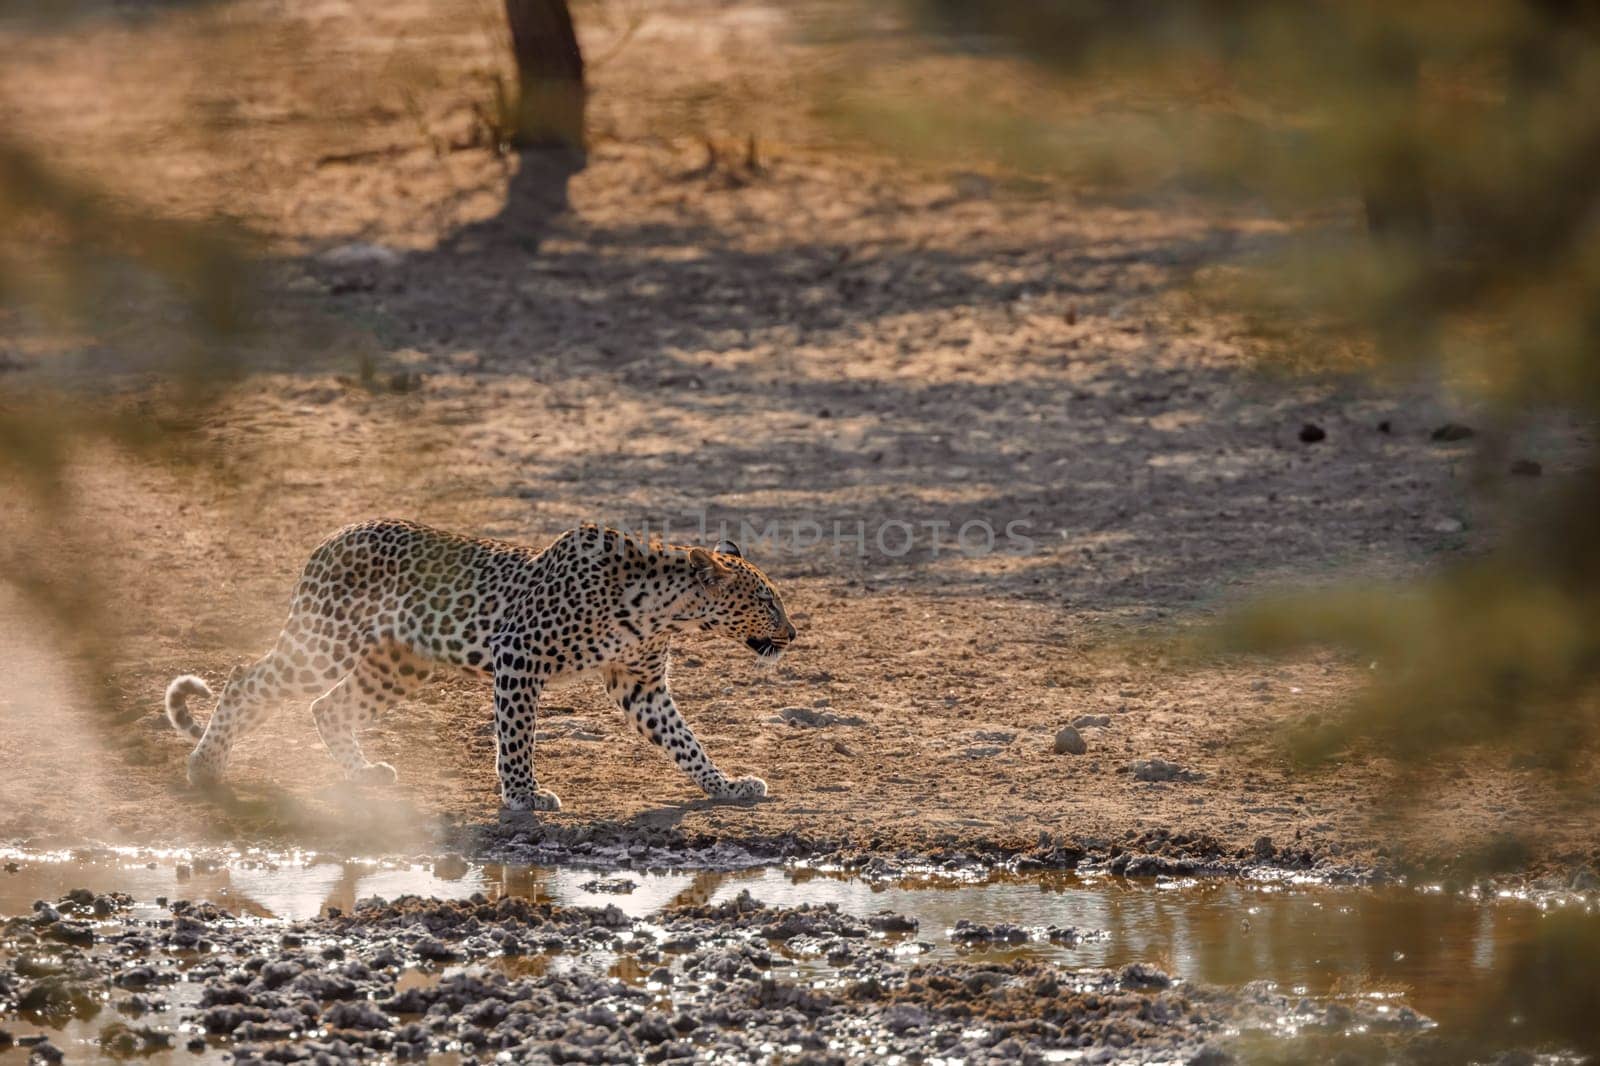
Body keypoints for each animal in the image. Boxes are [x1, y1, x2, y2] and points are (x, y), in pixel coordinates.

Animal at [162, 518, 800, 809]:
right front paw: (523, 796)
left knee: (329, 708)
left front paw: (726, 786)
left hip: (397, 663)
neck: (665, 610)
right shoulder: (519, 656)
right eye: (768, 601)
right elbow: (515, 737)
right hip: (324, 642)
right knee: (247, 681)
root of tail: (331, 537)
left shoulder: (639, 684)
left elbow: (685, 740)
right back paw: (205, 767)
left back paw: (363, 775)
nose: (793, 634)